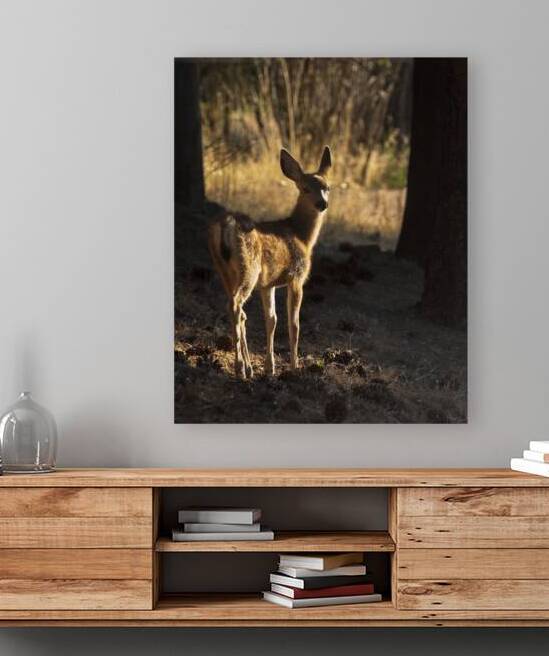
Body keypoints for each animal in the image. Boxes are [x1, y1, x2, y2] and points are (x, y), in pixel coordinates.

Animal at [208, 146, 332, 379]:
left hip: (222, 268)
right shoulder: (296, 276)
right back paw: (240, 368)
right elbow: (294, 324)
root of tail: (226, 224)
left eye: (327, 187)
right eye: (305, 188)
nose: (322, 204)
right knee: (236, 304)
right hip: (248, 267)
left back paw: (248, 367)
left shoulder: (268, 284)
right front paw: (294, 367)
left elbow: (272, 320)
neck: (302, 237)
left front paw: (270, 367)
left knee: (238, 310)